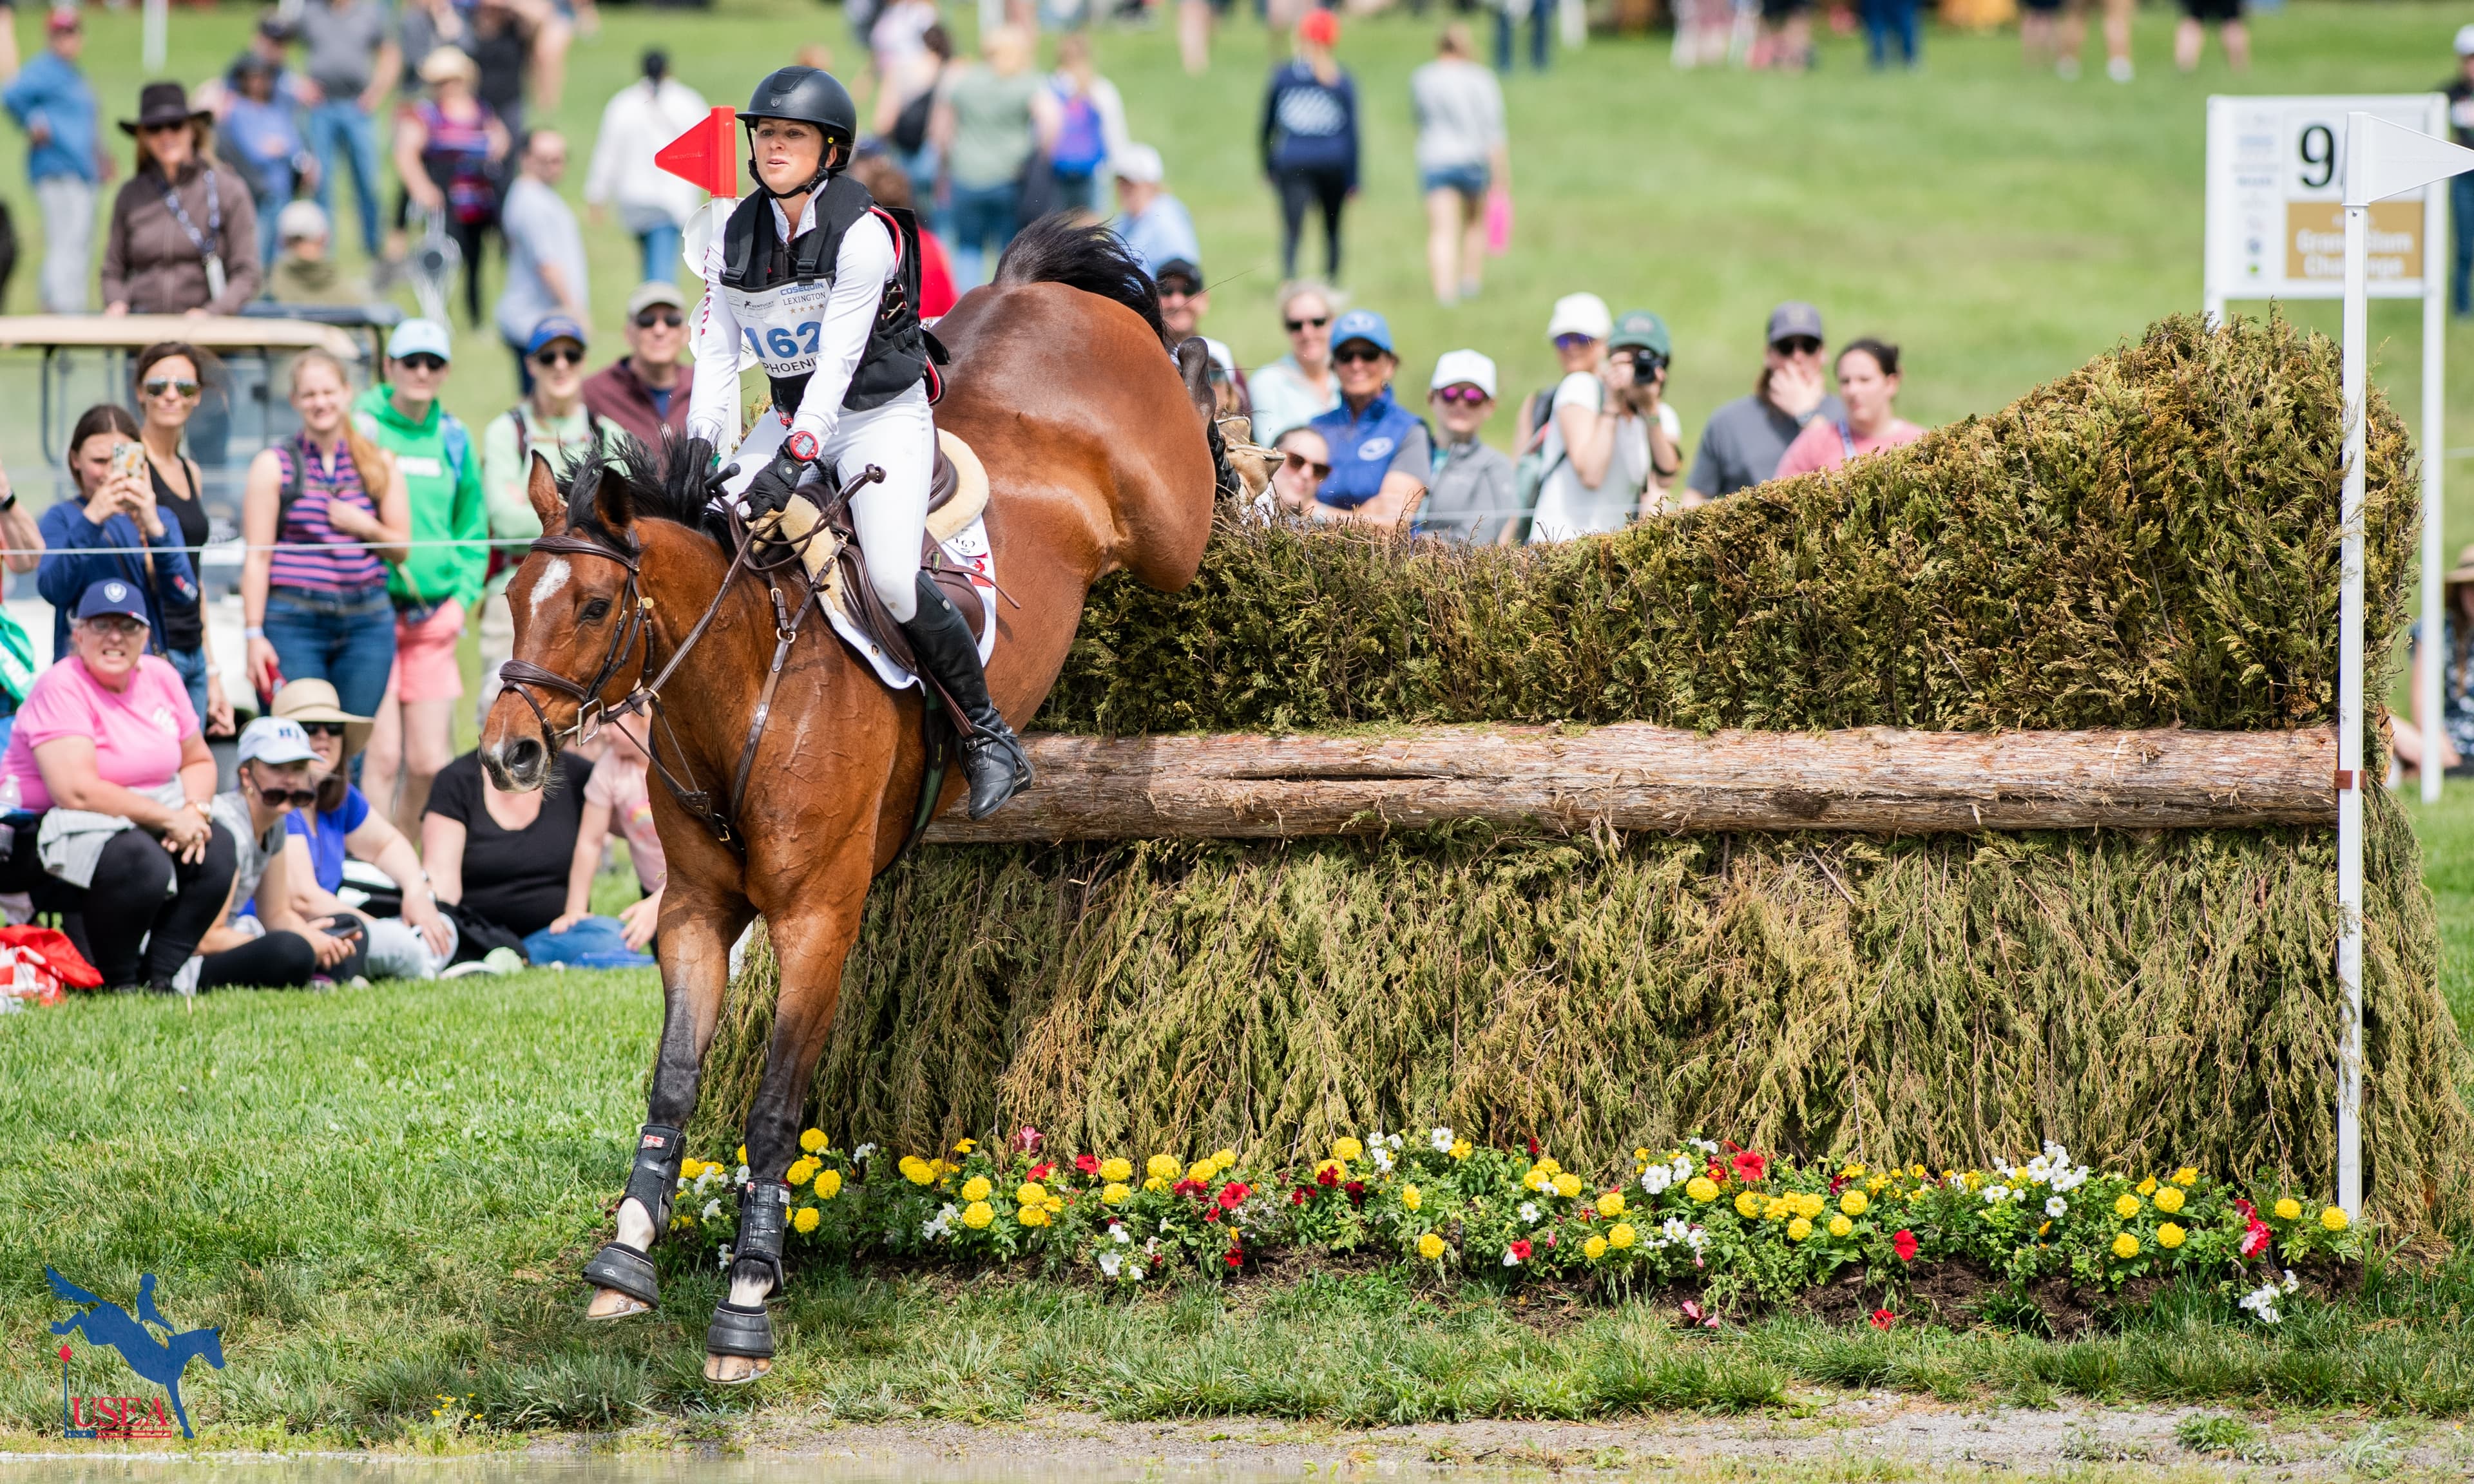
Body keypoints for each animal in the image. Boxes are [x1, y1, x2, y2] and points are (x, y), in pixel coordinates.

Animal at [46, 1268, 225, 1438]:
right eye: (213, 1346)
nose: (221, 1365)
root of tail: (104, 1303)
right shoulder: (170, 1381)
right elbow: (178, 1406)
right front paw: (187, 1431)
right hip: (99, 1337)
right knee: (81, 1316)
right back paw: (60, 1328)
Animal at [479, 218, 1227, 1383]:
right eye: (516, 597)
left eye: (596, 605)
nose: (509, 753)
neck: (743, 693)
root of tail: (1042, 294)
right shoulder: (695, 914)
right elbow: (674, 1085)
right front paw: (626, 1263)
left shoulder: (816, 921)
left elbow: (775, 1107)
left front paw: (745, 1302)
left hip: (1169, 535)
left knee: (1197, 432)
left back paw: (1222, 404)